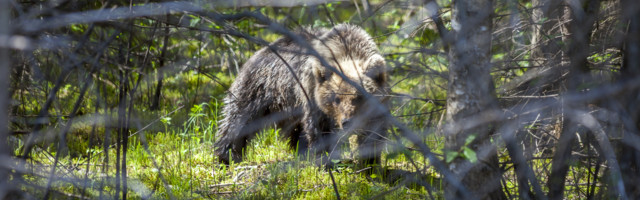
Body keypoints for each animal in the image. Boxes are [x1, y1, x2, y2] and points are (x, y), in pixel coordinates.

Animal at [215, 23, 390, 166]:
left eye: (359, 97)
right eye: (336, 99)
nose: (347, 121)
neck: (347, 51)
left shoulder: (376, 110)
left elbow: (373, 133)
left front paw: (371, 164)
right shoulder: (312, 93)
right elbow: (319, 128)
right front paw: (326, 161)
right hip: (259, 89)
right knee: (239, 120)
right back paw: (227, 156)